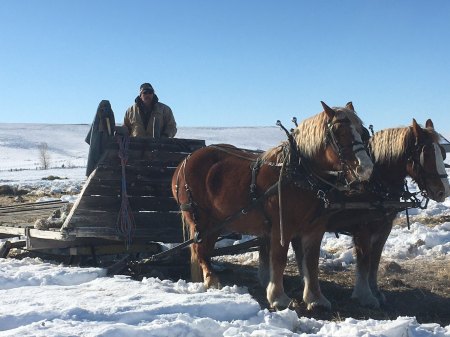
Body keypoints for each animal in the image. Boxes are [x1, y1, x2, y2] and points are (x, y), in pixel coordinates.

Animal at [171, 101, 374, 308]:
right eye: (339, 133)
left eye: (363, 132)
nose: (365, 168)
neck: (300, 173)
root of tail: (185, 160)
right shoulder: (281, 227)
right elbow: (279, 259)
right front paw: (278, 297)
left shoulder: (315, 229)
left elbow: (311, 262)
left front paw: (316, 298)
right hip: (202, 220)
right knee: (200, 251)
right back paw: (212, 281)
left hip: (216, 223)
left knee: (204, 250)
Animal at [276, 117, 448, 308]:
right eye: (426, 153)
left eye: (443, 152)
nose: (443, 191)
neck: (374, 183)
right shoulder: (363, 229)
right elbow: (364, 261)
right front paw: (365, 295)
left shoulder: (384, 228)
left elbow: (375, 261)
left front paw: (376, 291)